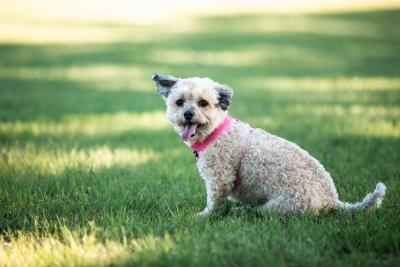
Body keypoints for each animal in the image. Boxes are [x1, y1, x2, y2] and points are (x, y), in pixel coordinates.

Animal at [152, 73, 386, 216]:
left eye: (203, 103)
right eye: (180, 102)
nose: (188, 114)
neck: (216, 132)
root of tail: (332, 201)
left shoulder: (219, 179)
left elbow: (213, 203)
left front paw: (204, 216)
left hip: (280, 206)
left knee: (261, 213)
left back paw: (242, 211)